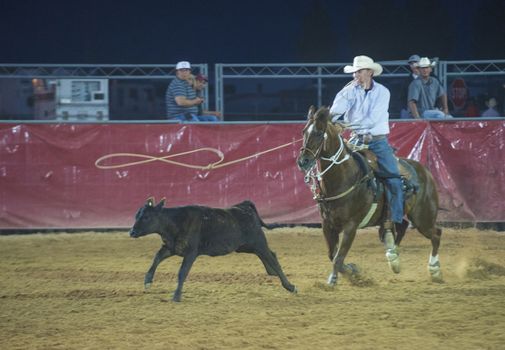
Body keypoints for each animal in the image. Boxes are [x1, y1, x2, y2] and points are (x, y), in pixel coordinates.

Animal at [296, 106, 440, 284]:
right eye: (303, 131)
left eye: (318, 132)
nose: (303, 161)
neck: (344, 177)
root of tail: (425, 171)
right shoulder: (327, 224)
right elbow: (333, 255)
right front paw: (353, 271)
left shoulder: (351, 226)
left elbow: (338, 257)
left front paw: (333, 280)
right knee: (402, 226)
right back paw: (393, 258)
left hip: (422, 218)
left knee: (436, 234)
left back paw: (434, 269)